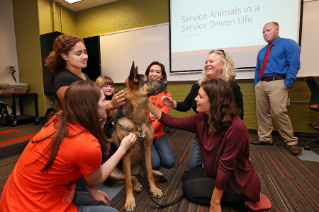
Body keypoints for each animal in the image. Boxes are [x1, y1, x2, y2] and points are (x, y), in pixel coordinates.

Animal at [110, 61, 168, 210]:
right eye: (149, 80)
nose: (166, 81)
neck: (138, 122)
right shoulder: (126, 156)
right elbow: (128, 184)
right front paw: (130, 201)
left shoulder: (147, 148)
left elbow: (150, 174)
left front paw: (153, 189)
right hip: (116, 172)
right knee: (131, 178)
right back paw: (137, 185)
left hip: (144, 160)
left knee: (144, 172)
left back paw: (155, 173)